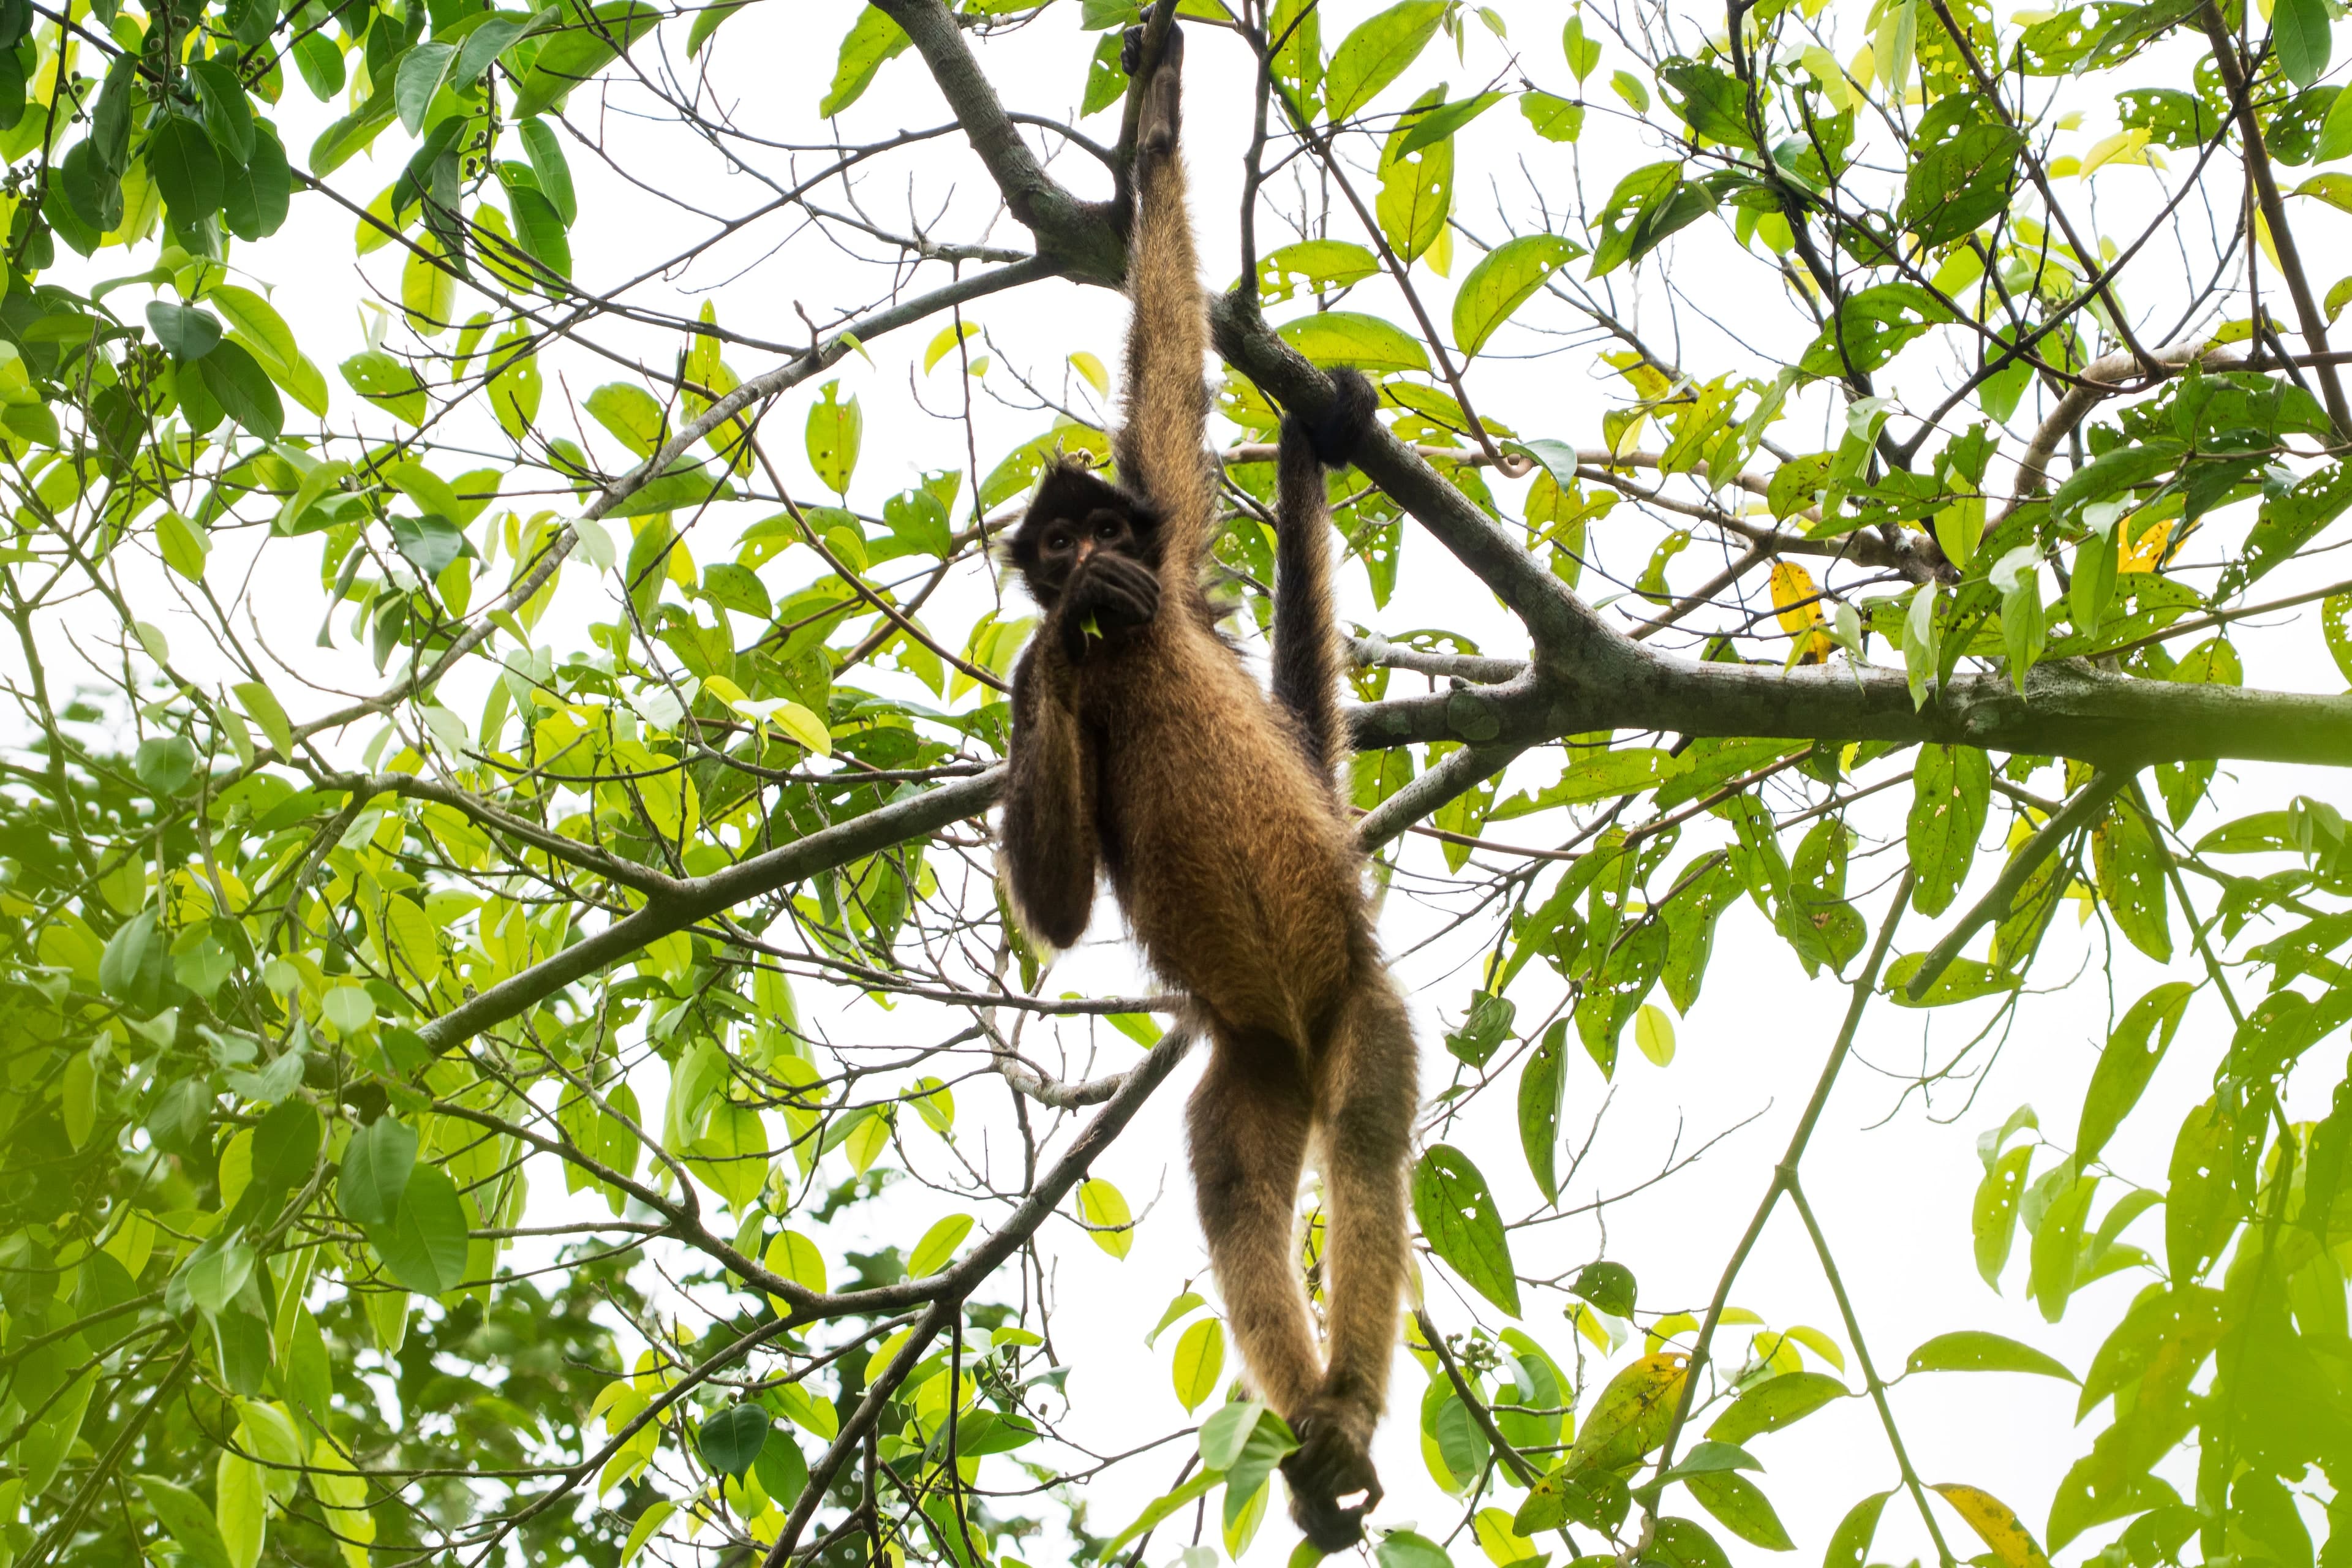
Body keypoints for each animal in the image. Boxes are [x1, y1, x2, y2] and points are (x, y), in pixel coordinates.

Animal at [996, 14, 1414, 1554]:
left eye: (1100, 521)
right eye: (1053, 541)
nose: (1086, 560)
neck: (1137, 652)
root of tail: (1294, 1023)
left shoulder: (1173, 547)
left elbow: (1168, 344)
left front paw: (1161, 114)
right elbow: (1056, 909)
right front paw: (1052, 649)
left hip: (1357, 1005)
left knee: (1366, 1145)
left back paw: (1343, 1409)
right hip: (1248, 1062)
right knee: (1238, 1194)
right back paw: (1314, 1433)